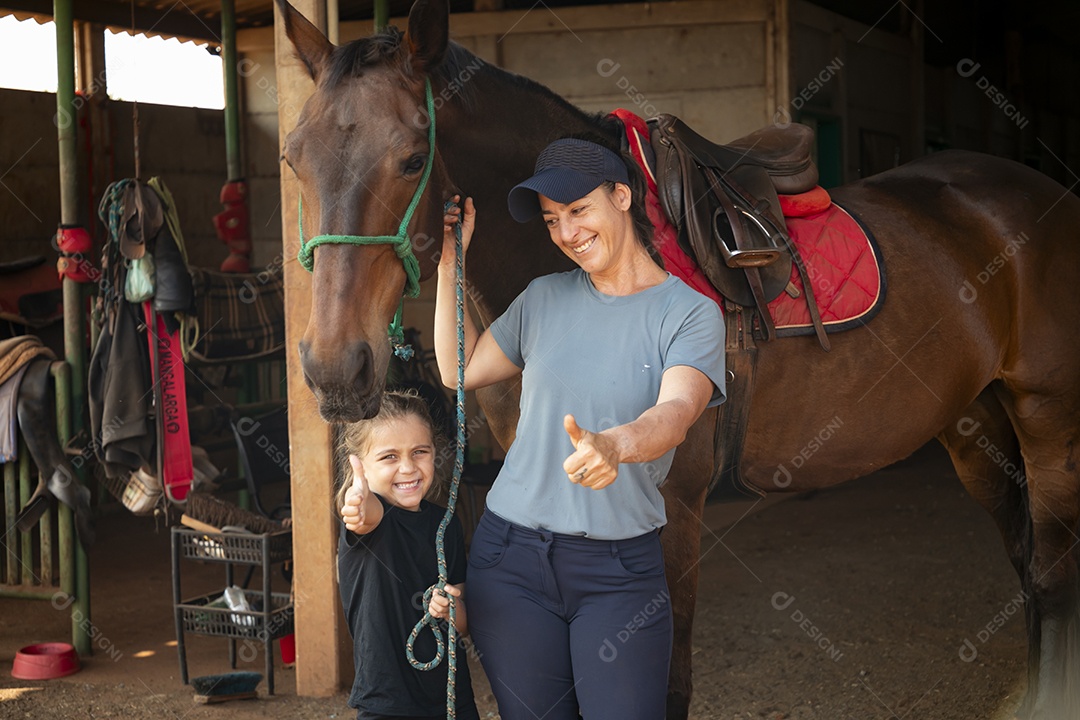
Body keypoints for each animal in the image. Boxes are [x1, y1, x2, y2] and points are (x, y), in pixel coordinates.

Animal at [276, 2, 1080, 716]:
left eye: (412, 158)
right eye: (292, 158)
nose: (334, 368)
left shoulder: (669, 514)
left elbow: (663, 686)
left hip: (1047, 418)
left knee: (1049, 573)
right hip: (974, 424)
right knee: (1025, 563)